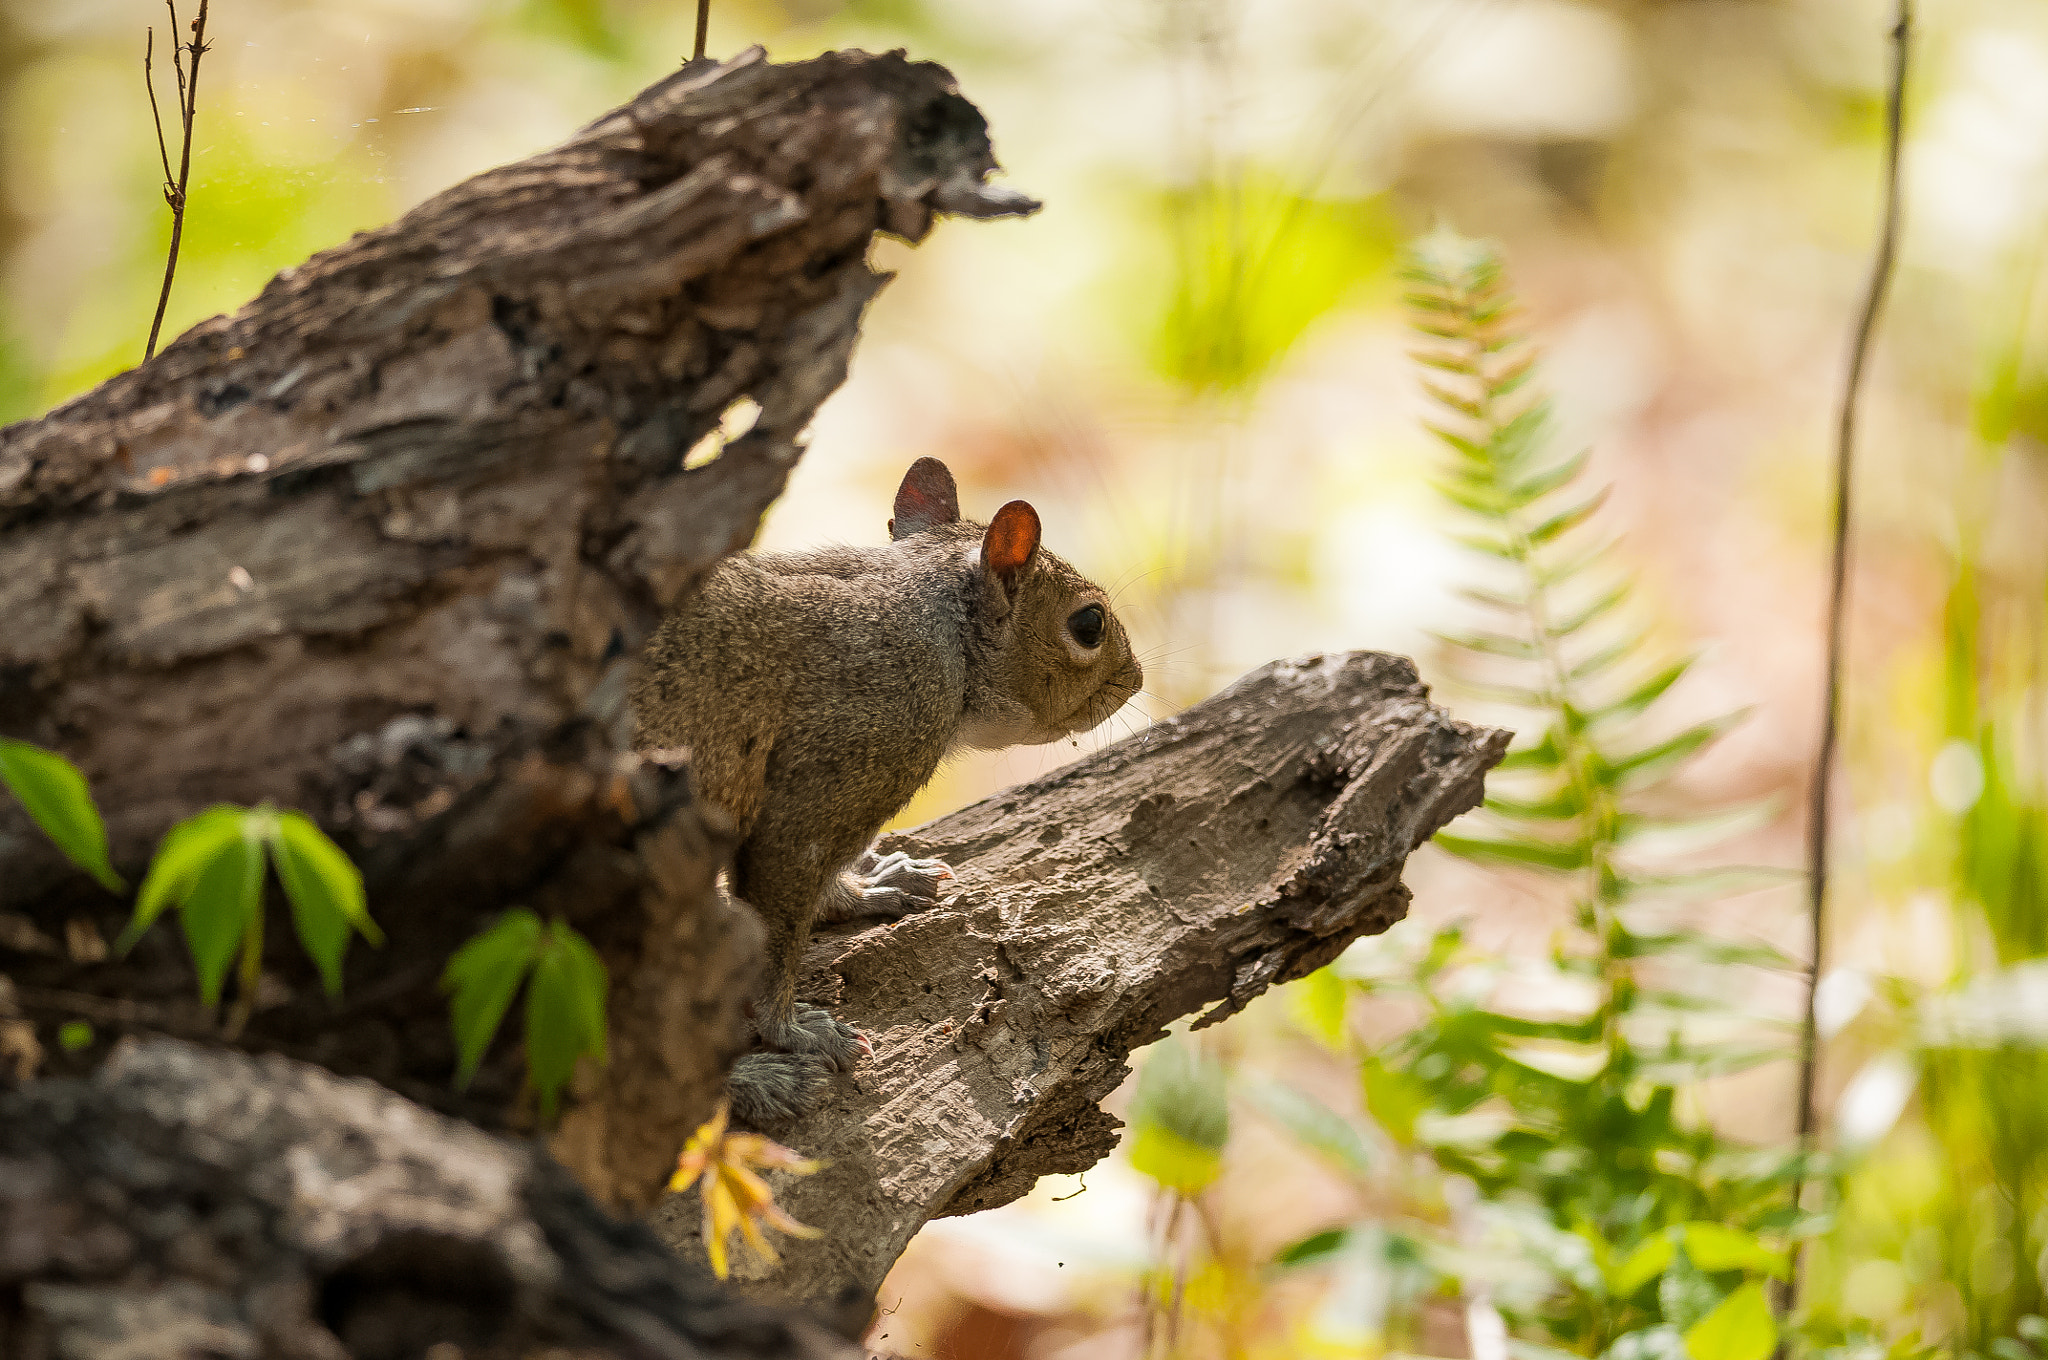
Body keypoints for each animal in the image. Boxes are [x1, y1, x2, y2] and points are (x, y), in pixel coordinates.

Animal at [626, 456, 1138, 1122]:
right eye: (1088, 625)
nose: (1136, 679)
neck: (933, 620)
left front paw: (872, 885)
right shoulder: (830, 781)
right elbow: (777, 922)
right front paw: (793, 1030)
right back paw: (756, 1079)